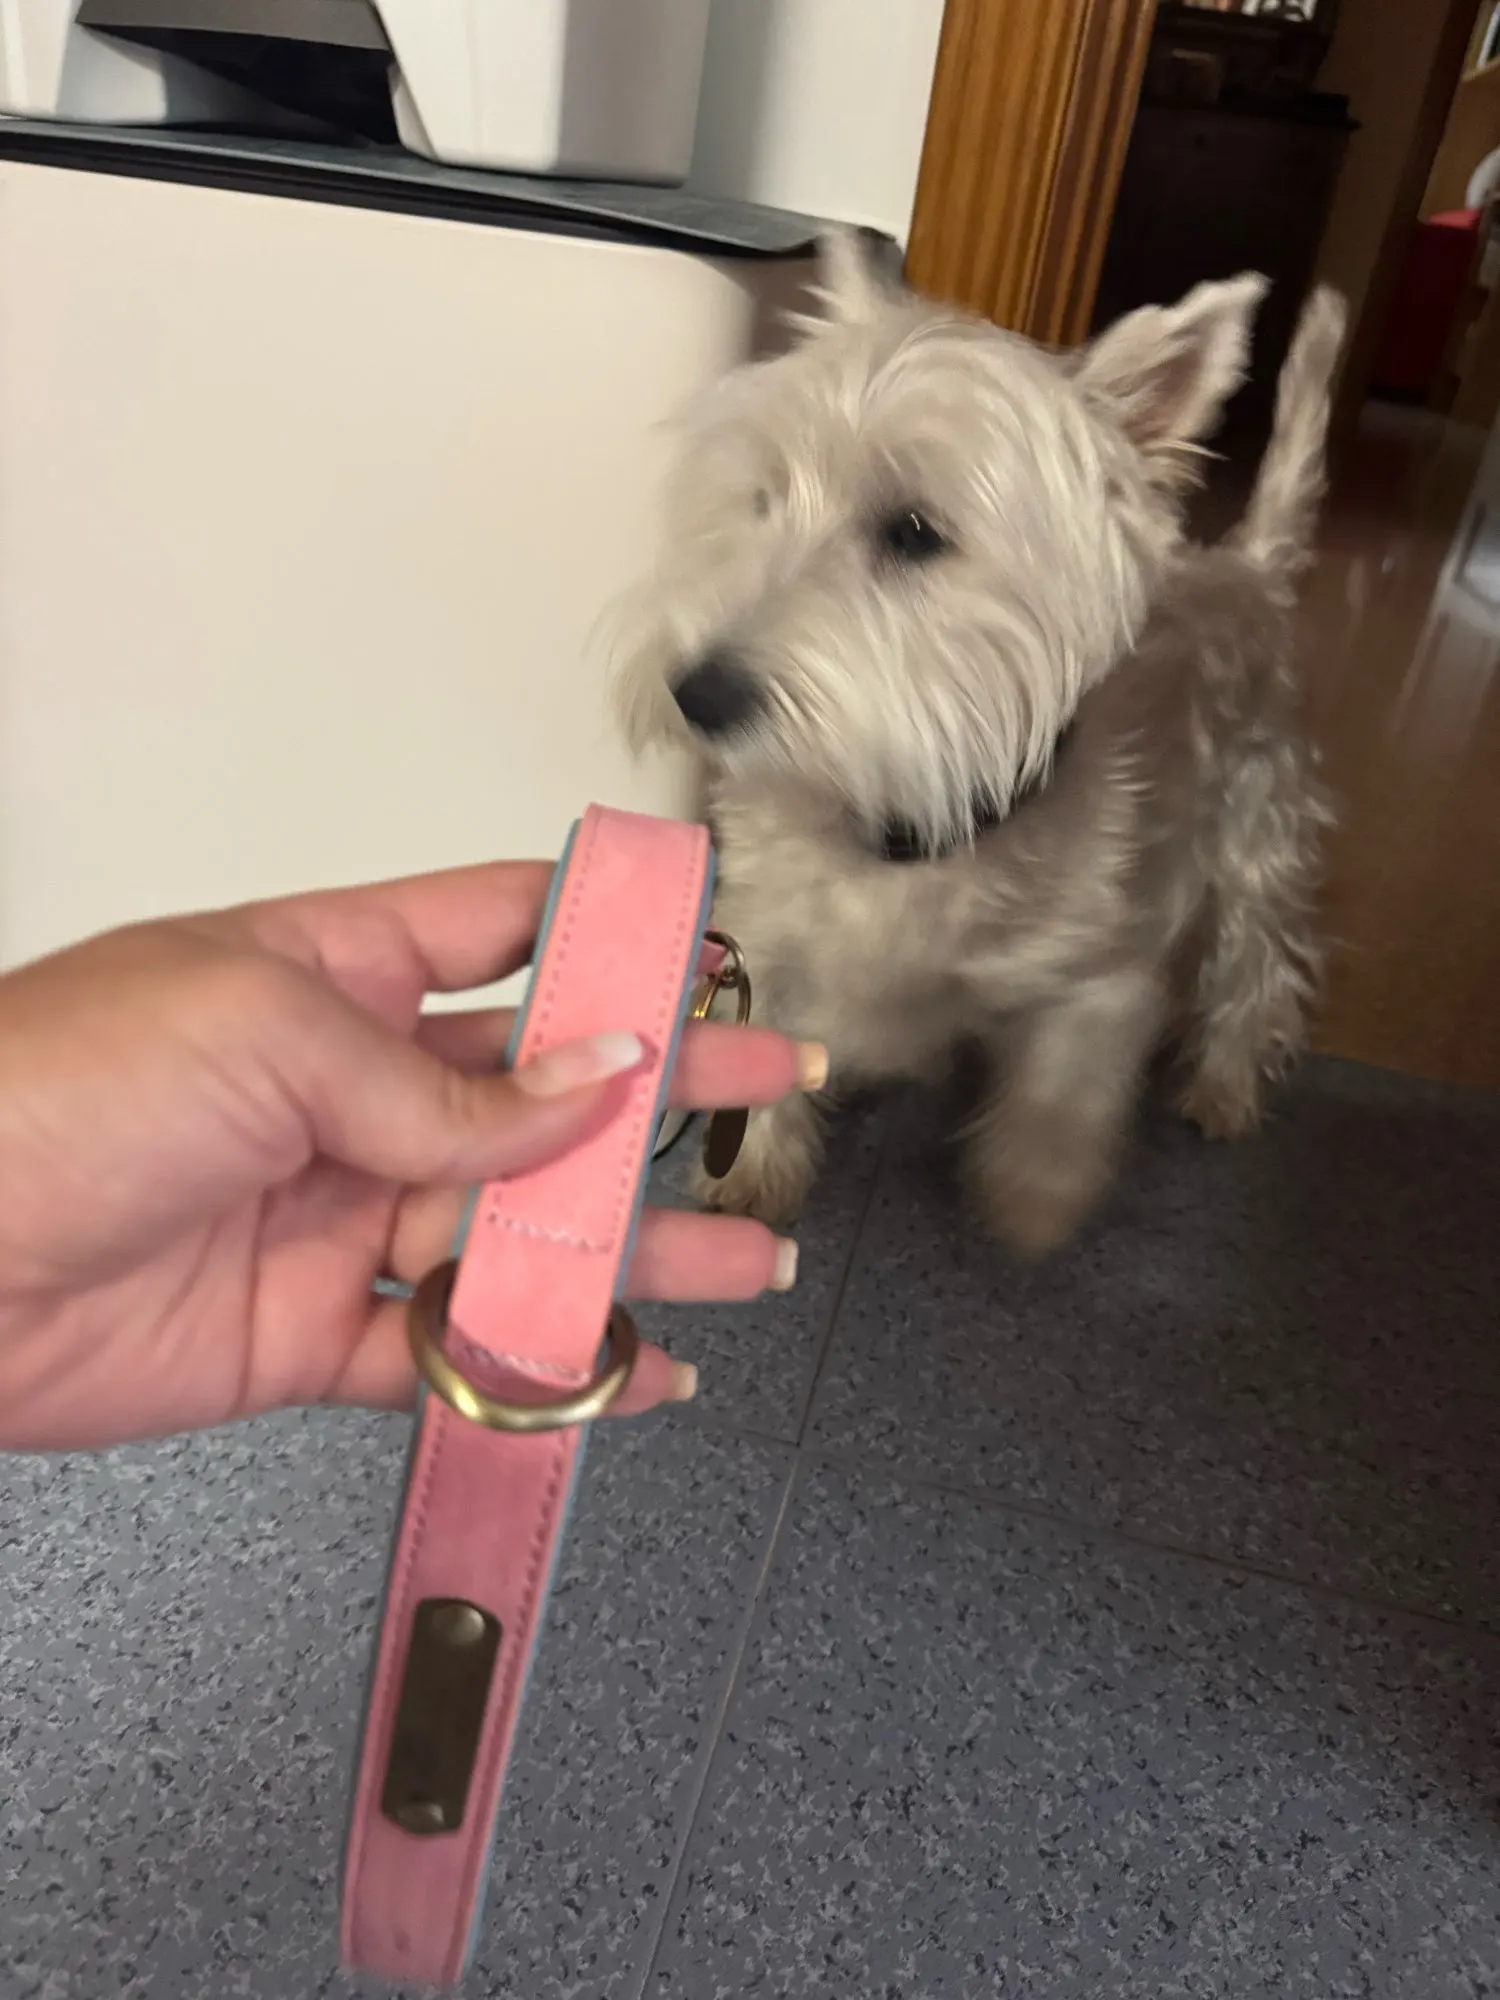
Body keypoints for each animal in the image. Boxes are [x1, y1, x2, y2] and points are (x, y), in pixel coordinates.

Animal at [611, 232, 1346, 1255]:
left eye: (916, 532)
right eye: (764, 498)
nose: (697, 696)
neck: (907, 826)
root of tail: (1250, 565)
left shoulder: (1102, 965)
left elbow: (1066, 1082)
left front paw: (1032, 1197)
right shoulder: (771, 936)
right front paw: (752, 1171)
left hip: (1259, 826)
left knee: (1258, 963)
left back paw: (1225, 1088)